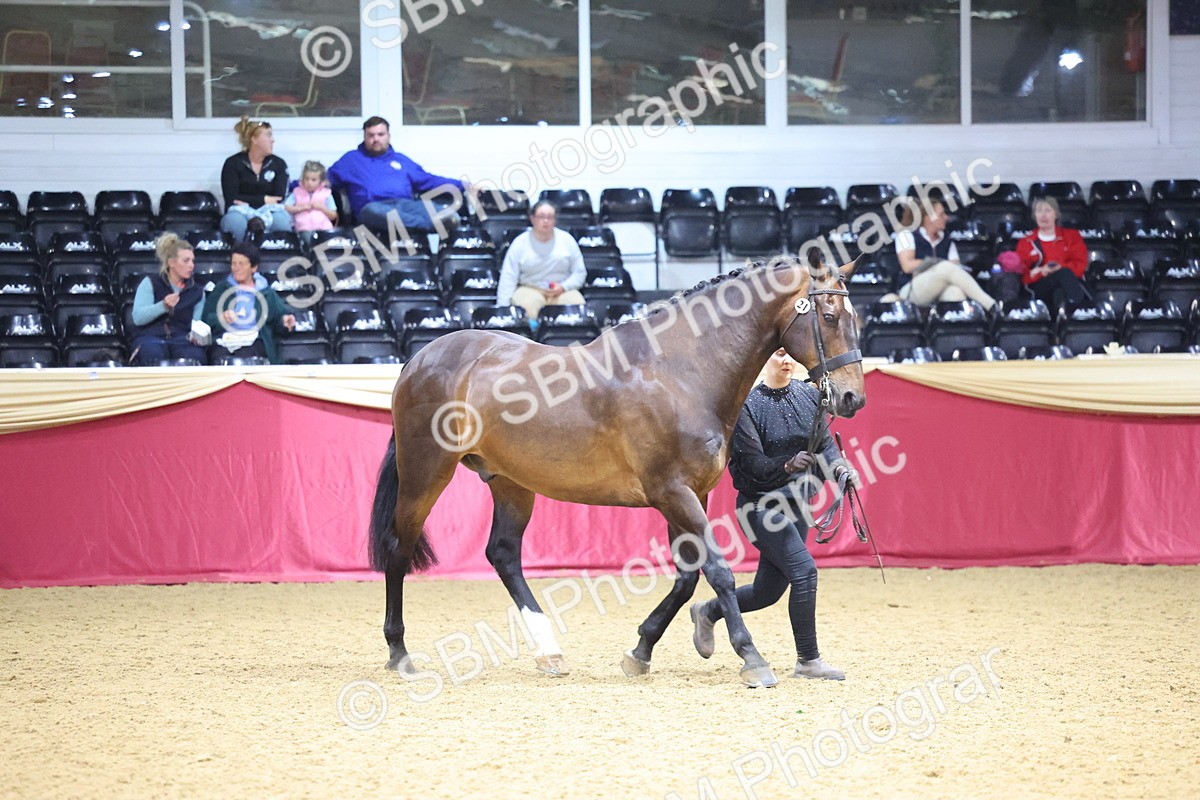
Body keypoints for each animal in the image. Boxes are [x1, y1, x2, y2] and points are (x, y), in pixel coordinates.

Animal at [368, 251, 865, 687]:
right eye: (829, 317)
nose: (851, 398)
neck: (680, 371)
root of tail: (419, 361)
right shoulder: (672, 492)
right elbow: (719, 571)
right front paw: (751, 658)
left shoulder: (692, 495)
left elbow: (688, 577)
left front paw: (640, 650)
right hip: (426, 473)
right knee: (399, 549)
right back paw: (400, 653)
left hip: (511, 483)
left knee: (503, 554)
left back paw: (549, 652)